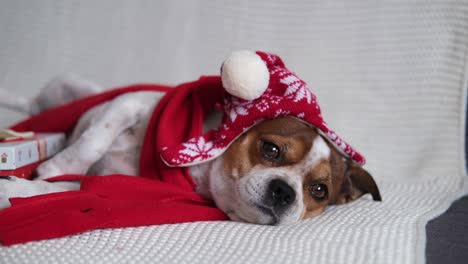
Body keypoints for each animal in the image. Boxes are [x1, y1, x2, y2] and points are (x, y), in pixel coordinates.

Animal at [0, 51, 380, 225]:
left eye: (319, 190)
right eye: (270, 149)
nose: (284, 191)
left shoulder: (118, 184)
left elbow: (65, 188)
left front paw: (18, 190)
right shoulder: (130, 103)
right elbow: (93, 141)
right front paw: (54, 167)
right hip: (68, 88)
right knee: (32, 102)